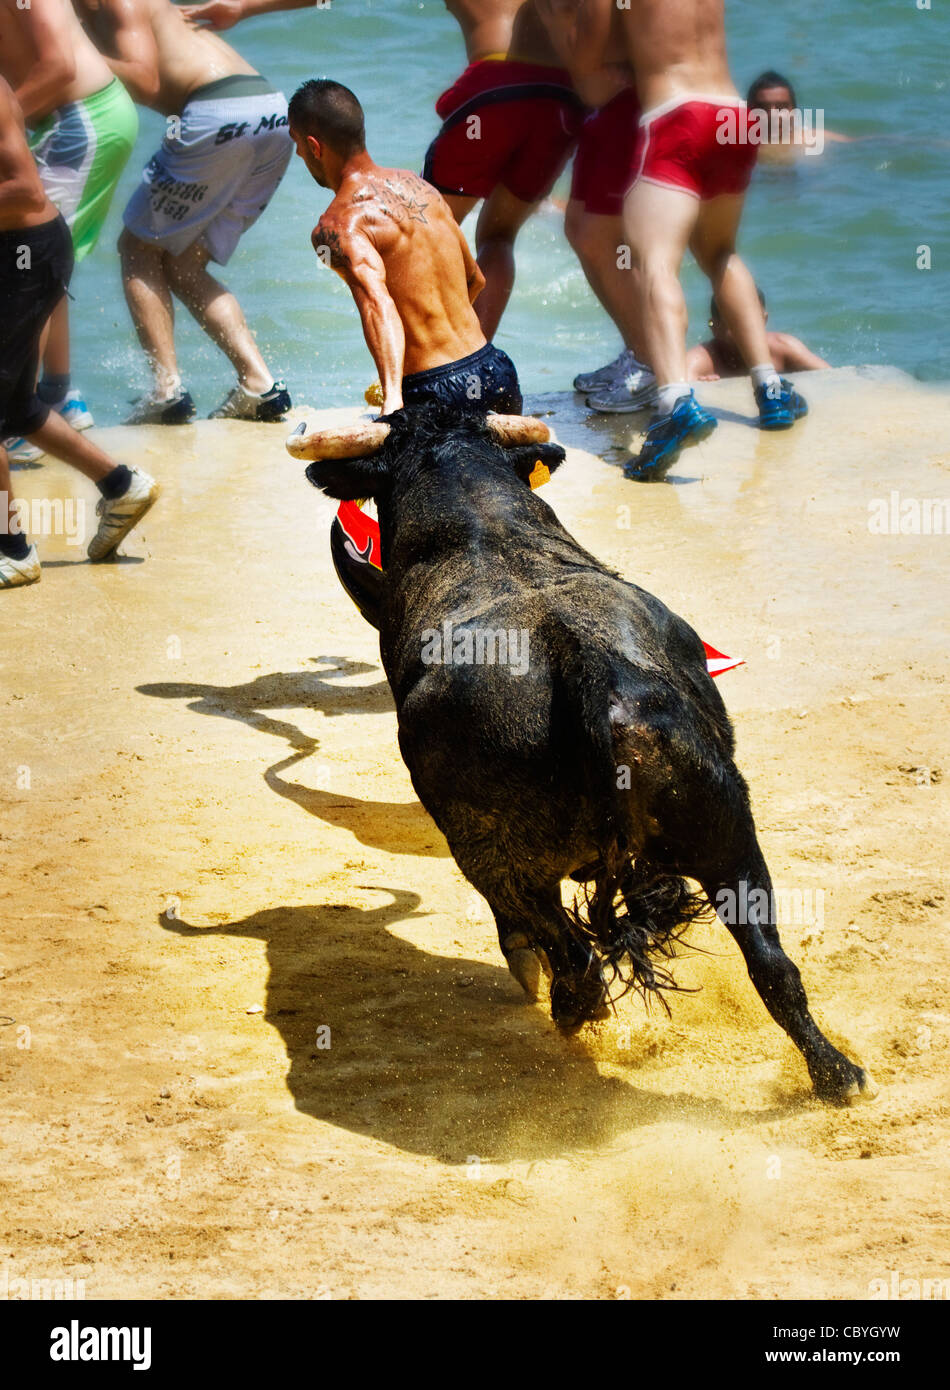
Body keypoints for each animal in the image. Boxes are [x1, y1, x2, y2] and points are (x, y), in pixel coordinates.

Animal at [308, 405, 873, 1106]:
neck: (481, 525)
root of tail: (588, 667)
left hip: (492, 852)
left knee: (568, 951)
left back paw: (569, 1008)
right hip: (726, 826)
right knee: (770, 962)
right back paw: (839, 1076)